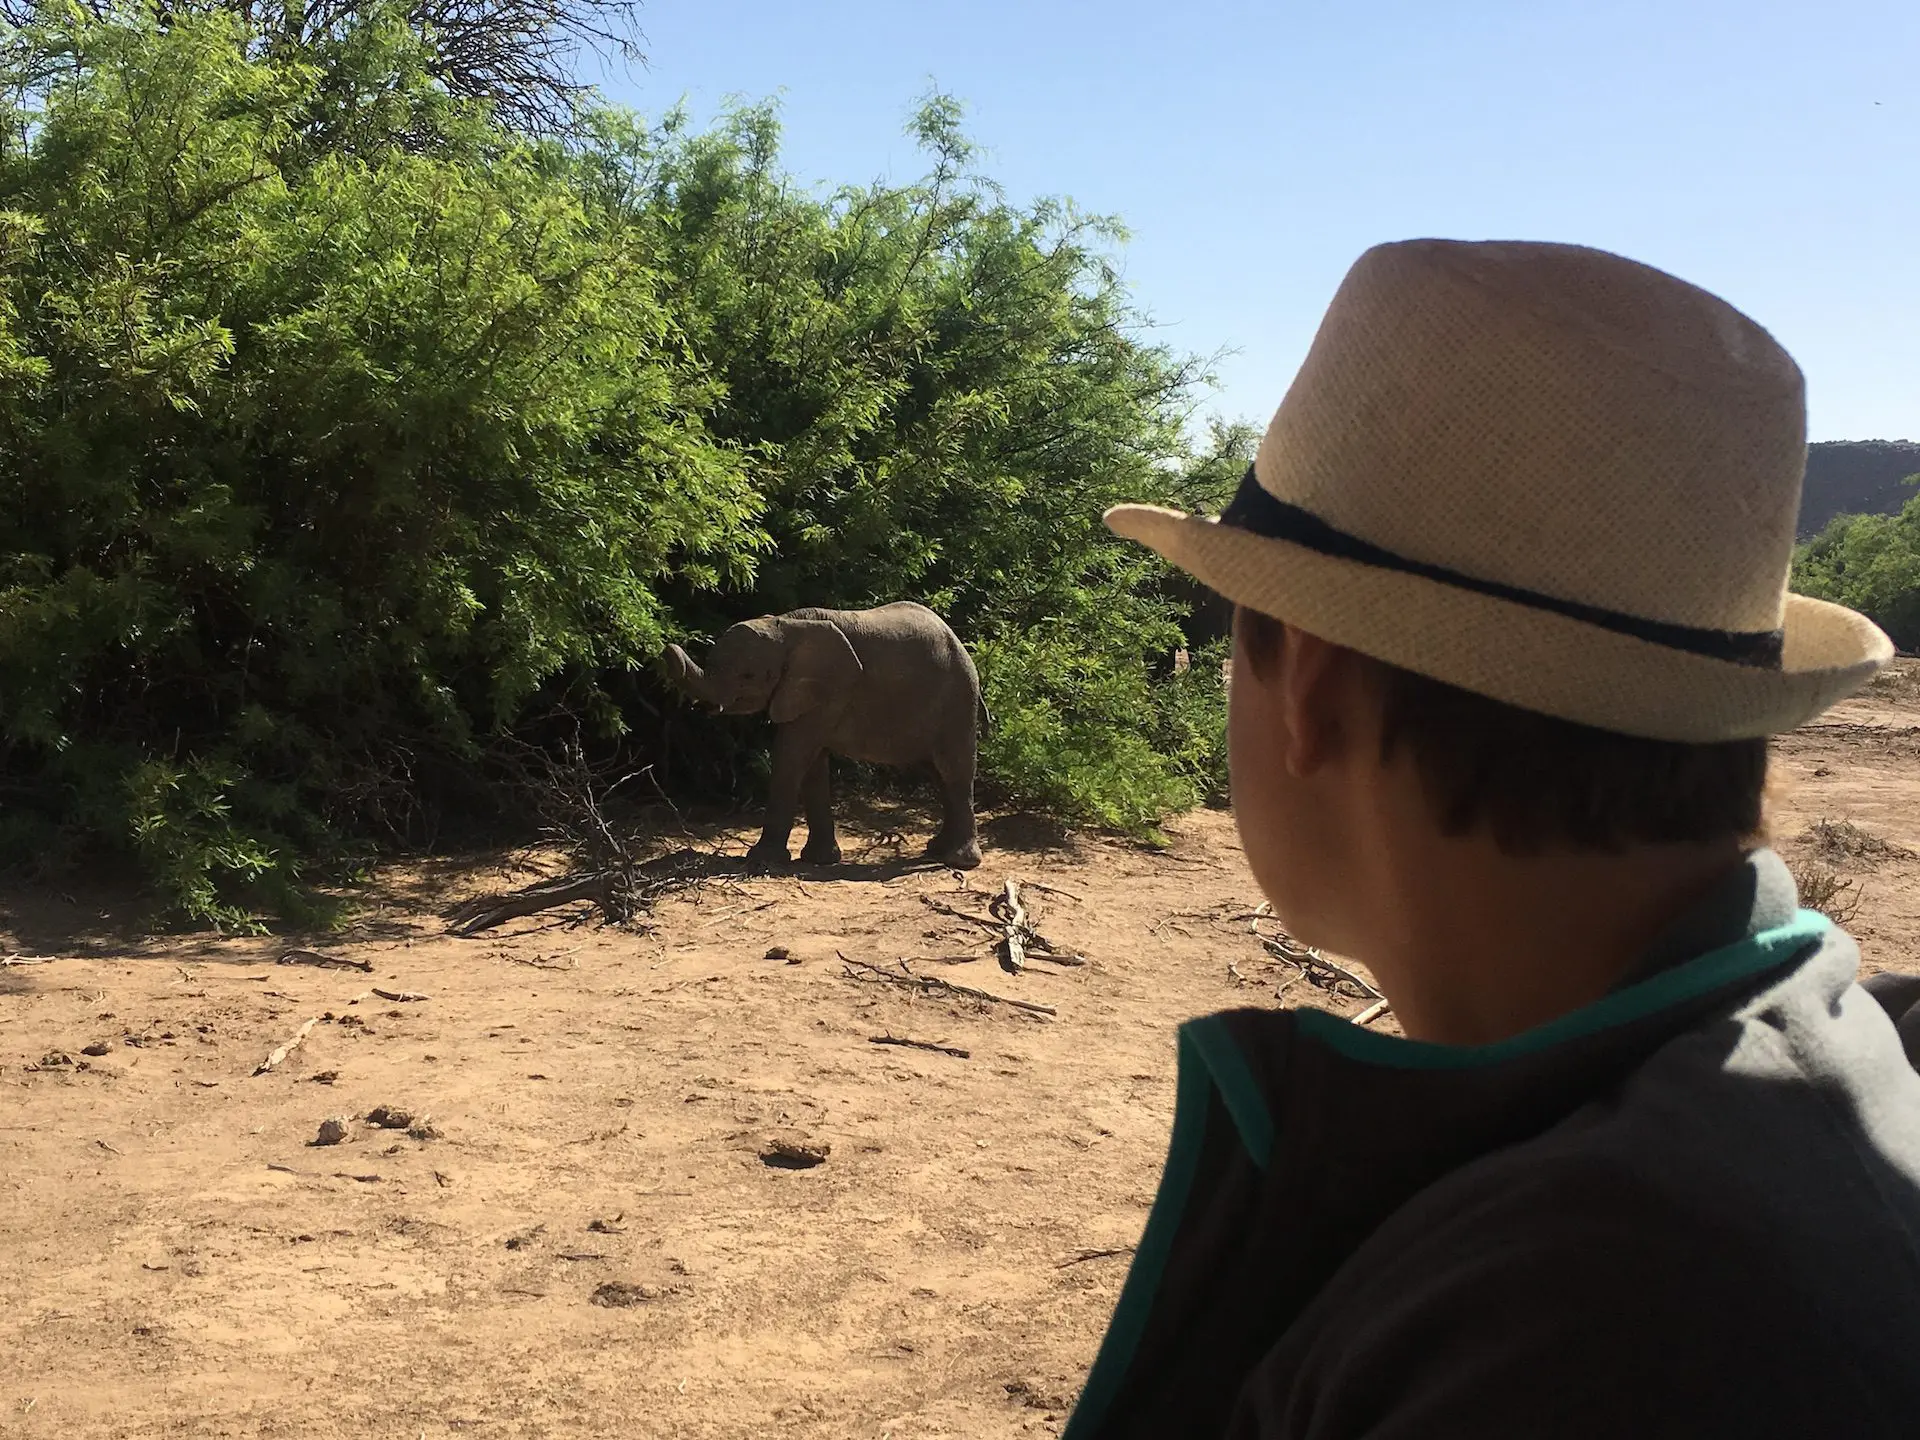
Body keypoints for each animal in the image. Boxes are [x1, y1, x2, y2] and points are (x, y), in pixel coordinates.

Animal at [661, 602, 984, 870]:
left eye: (748, 676)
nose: (667, 647)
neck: (785, 624)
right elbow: (812, 765)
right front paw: (819, 860)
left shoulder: (829, 690)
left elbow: (791, 756)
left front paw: (762, 860)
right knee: (938, 773)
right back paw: (937, 849)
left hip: (957, 699)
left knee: (954, 770)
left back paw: (959, 861)